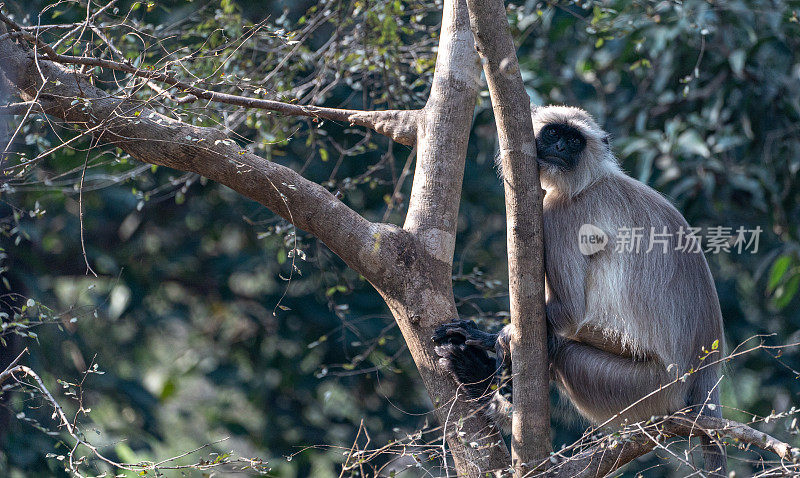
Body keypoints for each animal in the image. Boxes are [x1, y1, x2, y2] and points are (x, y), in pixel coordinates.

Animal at [434, 106, 728, 476]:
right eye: (553, 133)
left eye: (574, 141)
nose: (560, 147)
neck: (590, 182)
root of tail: (706, 373)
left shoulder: (559, 214)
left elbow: (569, 312)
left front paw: (495, 337)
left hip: (646, 389)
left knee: (561, 350)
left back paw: (480, 379)